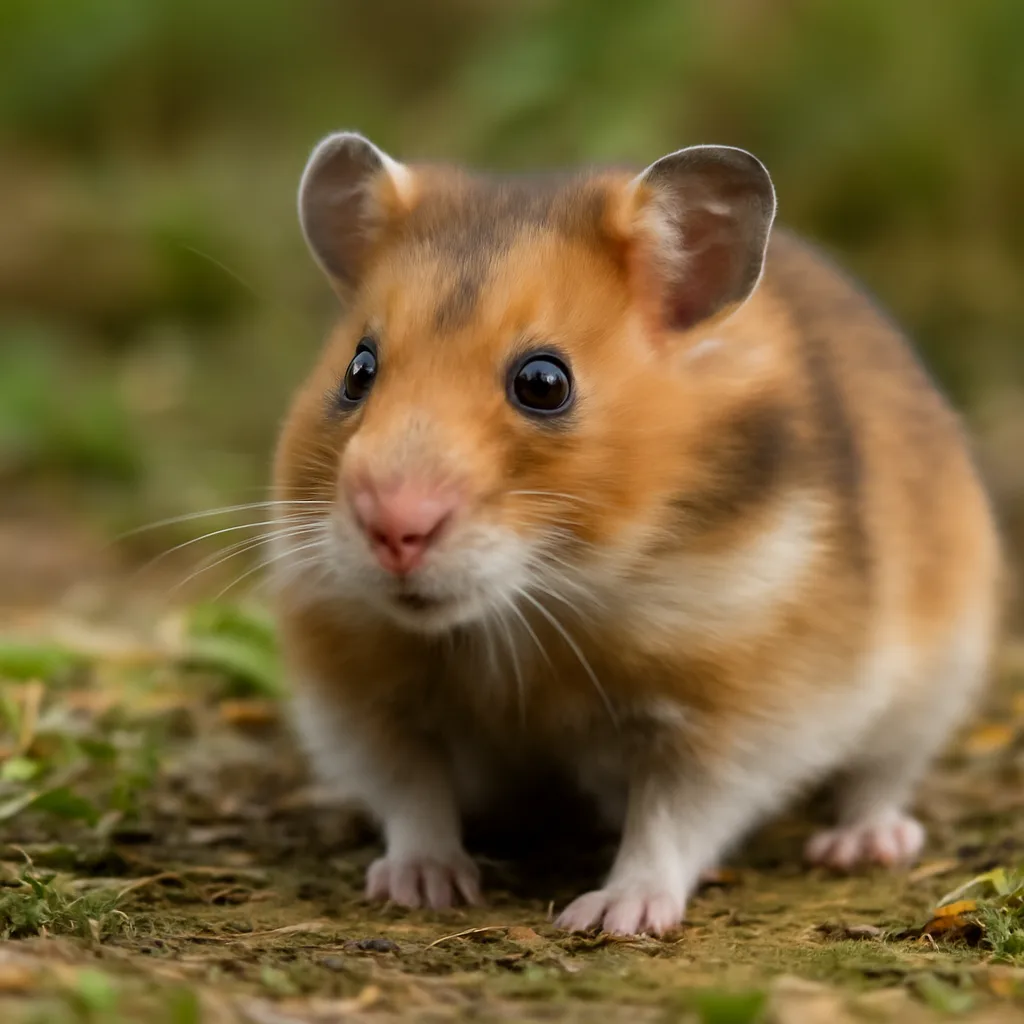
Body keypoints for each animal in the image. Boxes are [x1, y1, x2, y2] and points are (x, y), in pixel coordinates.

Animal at [270, 131, 1001, 936]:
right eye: (358, 371)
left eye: (544, 383)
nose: (393, 531)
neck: (536, 608)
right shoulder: (359, 695)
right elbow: (413, 791)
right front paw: (419, 888)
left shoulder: (743, 714)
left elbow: (670, 818)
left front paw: (610, 918)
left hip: (937, 676)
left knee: (882, 776)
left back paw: (862, 845)